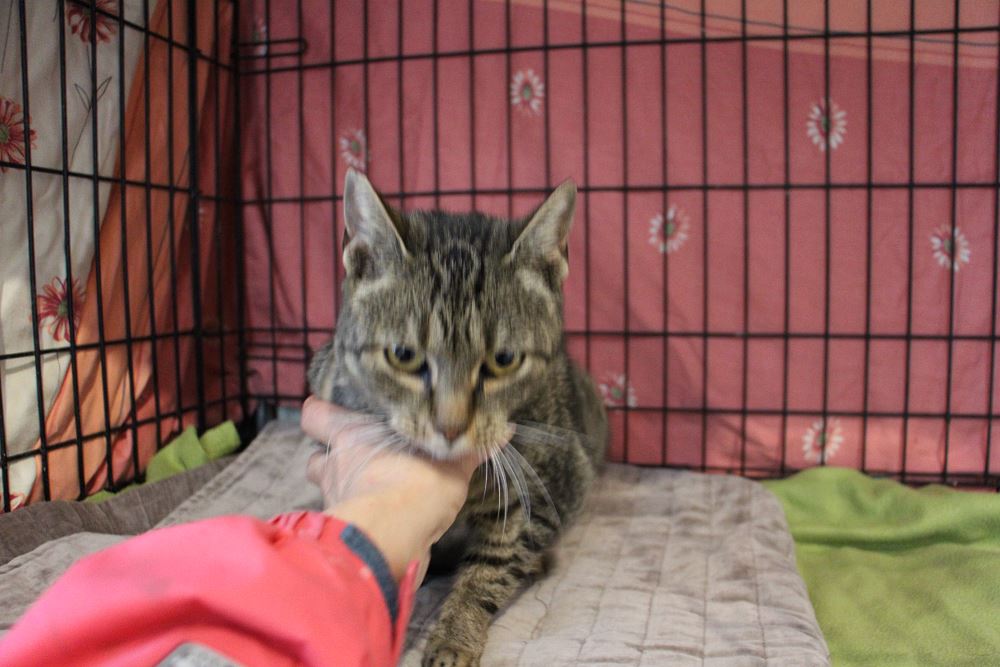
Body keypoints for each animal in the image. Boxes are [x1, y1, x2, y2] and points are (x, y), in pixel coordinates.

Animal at [308, 168, 608, 667]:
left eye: (504, 360)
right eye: (403, 355)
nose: (450, 427)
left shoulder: (550, 484)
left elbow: (491, 567)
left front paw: (454, 634)